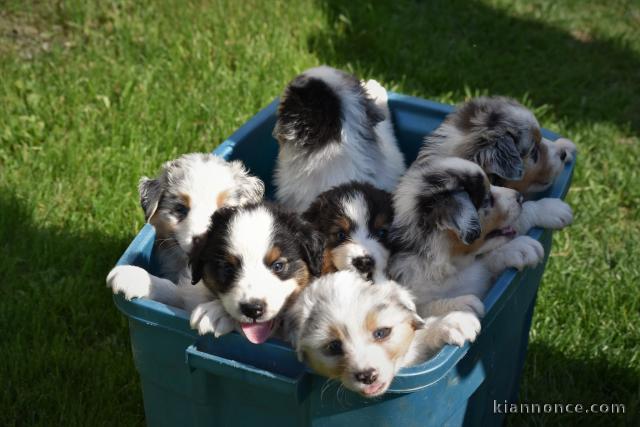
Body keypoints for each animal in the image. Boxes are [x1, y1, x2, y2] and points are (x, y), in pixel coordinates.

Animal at [388, 157, 548, 348]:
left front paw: (519, 248)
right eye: (486, 200)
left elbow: (486, 263)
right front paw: (461, 307)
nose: (520, 197)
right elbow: (421, 311)